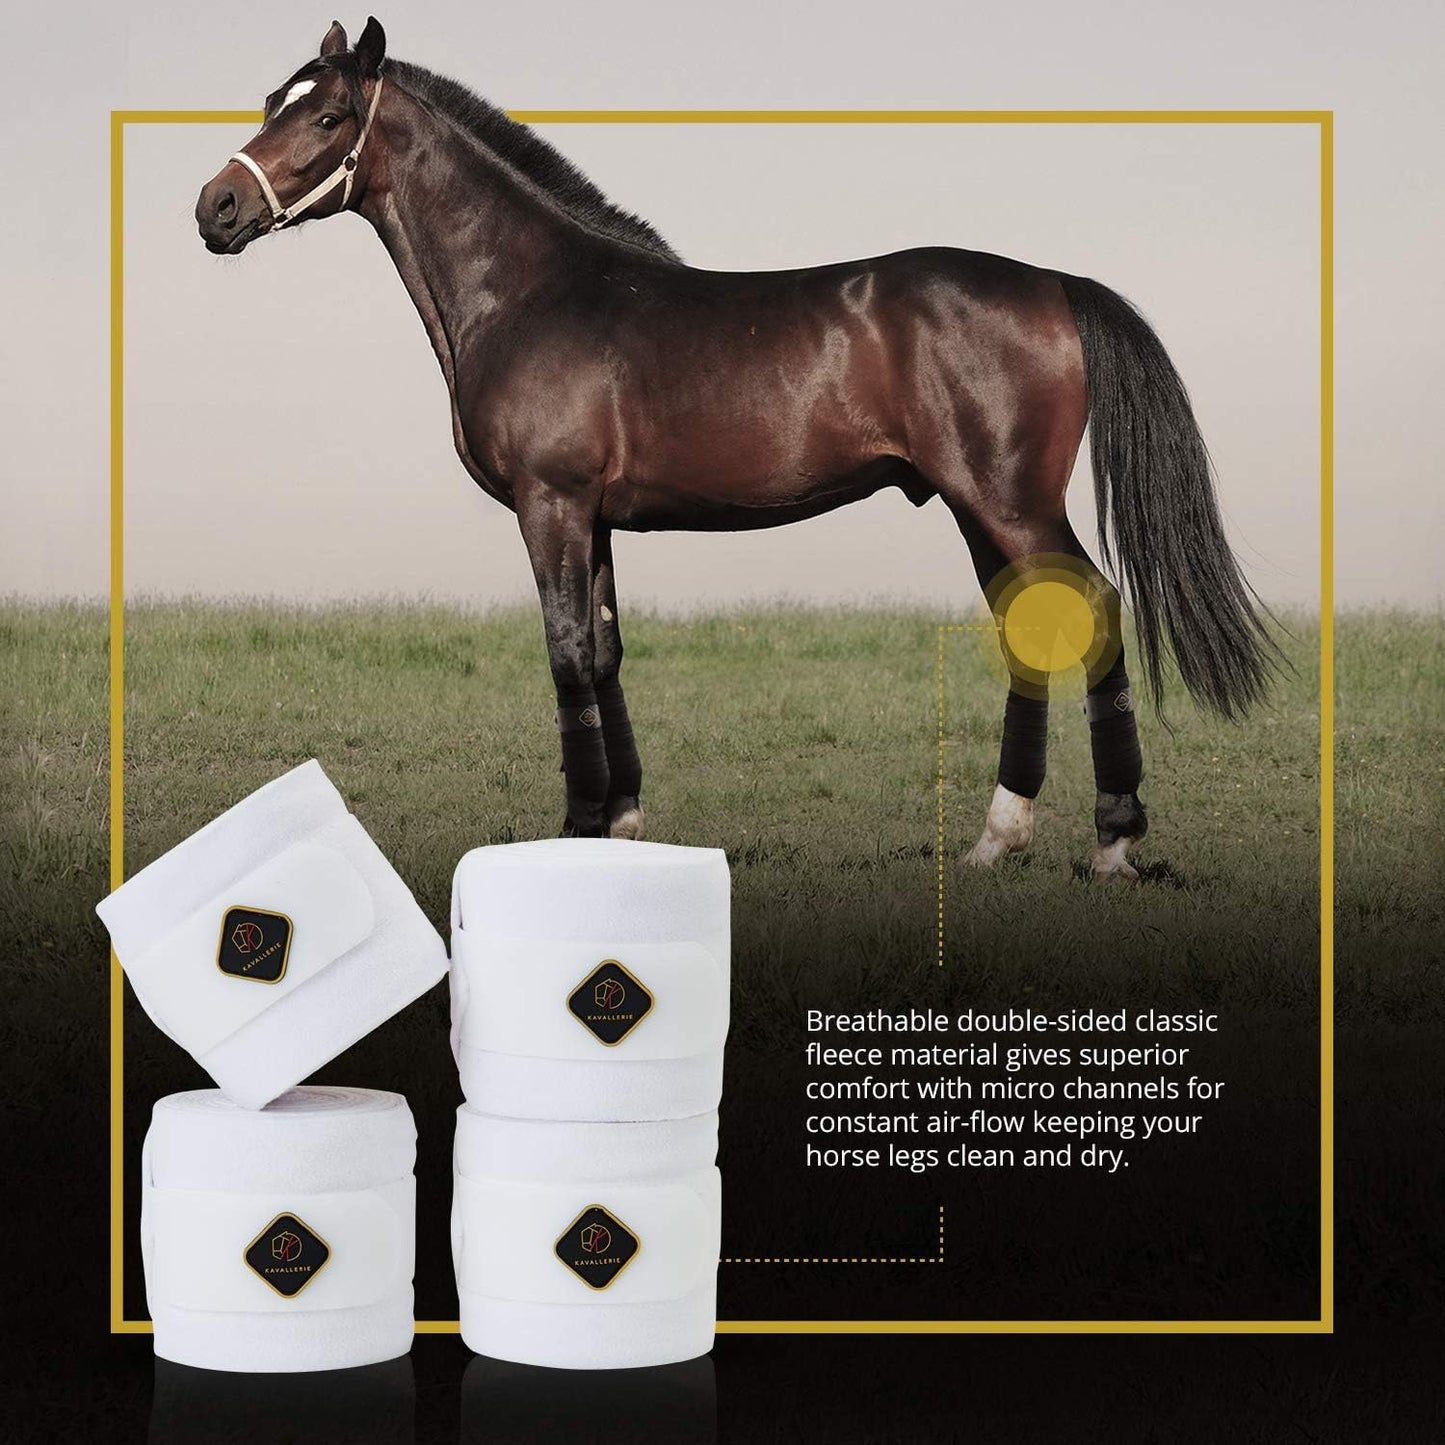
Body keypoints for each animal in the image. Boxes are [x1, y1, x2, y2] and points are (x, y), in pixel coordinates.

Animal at [195, 18, 1277, 880]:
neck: (532, 290)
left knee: (1092, 612)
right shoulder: (593, 518)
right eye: (272, 101)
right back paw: (994, 839)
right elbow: (604, 651)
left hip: (1009, 501)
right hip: (978, 507)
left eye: (330, 118)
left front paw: (575, 830)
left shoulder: (551, 503)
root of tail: (1052, 282)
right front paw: (621, 822)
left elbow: (565, 653)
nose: (215, 208)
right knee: (1030, 627)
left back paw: (1112, 839)